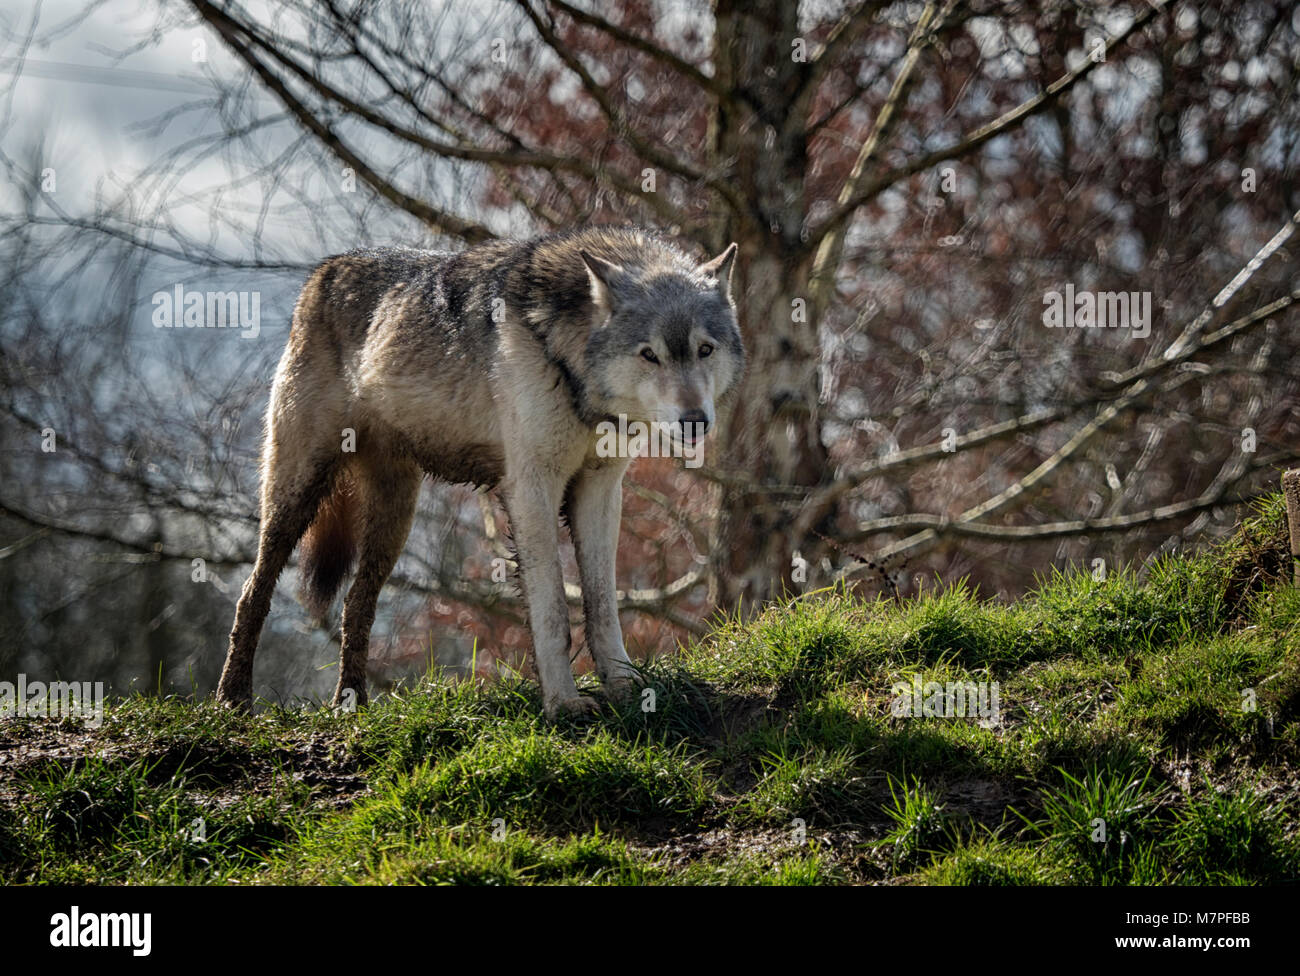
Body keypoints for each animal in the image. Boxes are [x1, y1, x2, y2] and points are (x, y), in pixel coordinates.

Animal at [218, 227, 738, 717]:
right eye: (650, 354)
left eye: (704, 350)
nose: (696, 421)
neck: (569, 362)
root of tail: (323, 272)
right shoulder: (532, 488)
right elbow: (551, 610)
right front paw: (563, 704)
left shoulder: (601, 489)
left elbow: (603, 606)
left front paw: (626, 690)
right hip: (297, 492)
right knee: (250, 592)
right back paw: (233, 700)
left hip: (393, 520)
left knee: (356, 604)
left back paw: (352, 705)